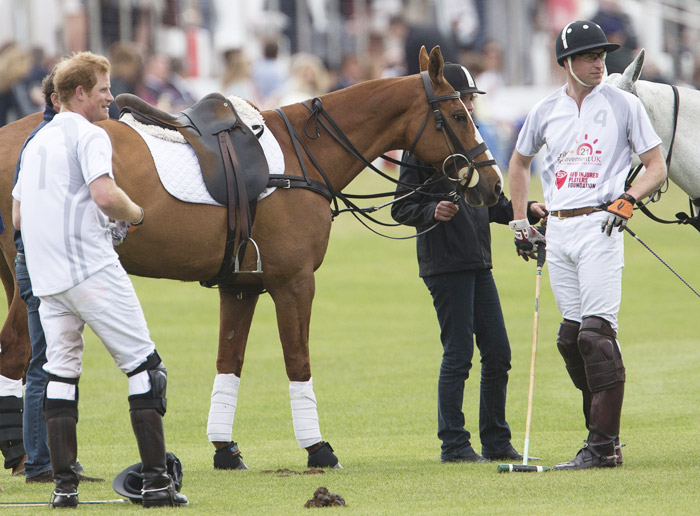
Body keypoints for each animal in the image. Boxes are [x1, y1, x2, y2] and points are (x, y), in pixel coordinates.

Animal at [0, 46, 500, 470]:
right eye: (459, 114)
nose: (492, 185)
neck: (304, 154)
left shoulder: (240, 285)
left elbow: (229, 362)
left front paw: (225, 450)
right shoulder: (294, 281)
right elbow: (298, 361)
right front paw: (318, 449)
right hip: (34, 283)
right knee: (15, 352)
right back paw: (28, 460)